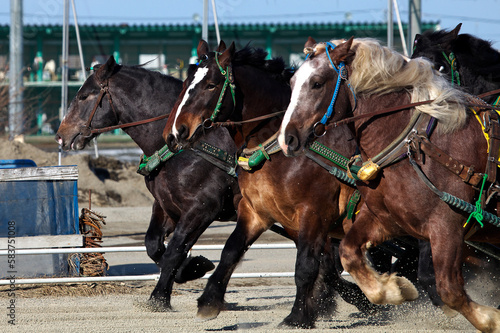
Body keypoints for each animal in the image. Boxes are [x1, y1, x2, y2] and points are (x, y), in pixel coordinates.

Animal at [162, 39, 376, 326]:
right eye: (185, 83)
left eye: (211, 84)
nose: (176, 132)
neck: (277, 148)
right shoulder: (256, 211)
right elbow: (231, 250)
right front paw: (210, 299)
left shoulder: (313, 214)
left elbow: (305, 266)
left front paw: (298, 315)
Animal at [280, 37, 500, 332]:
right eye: (292, 82)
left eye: (316, 83)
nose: (287, 139)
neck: (413, 147)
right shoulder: (386, 219)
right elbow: (349, 253)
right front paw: (394, 289)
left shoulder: (447, 227)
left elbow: (450, 290)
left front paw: (491, 319)